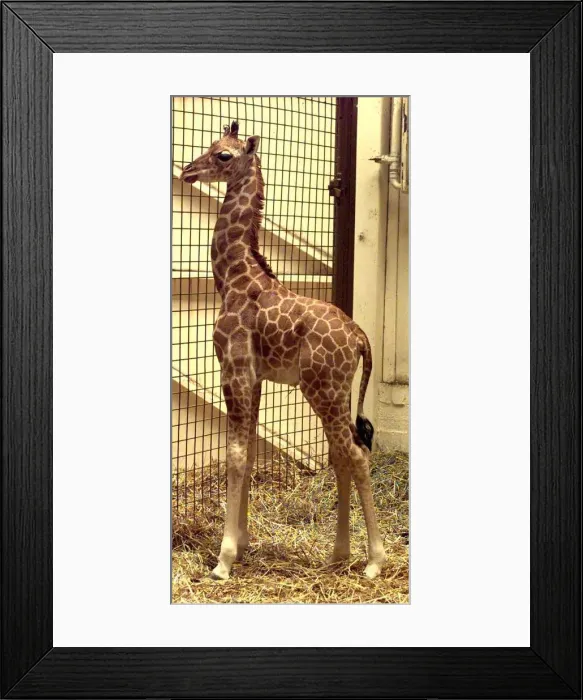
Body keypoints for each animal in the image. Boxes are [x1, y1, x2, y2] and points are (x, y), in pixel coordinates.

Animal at [180, 121, 387, 581]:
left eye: (223, 154)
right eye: (210, 145)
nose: (187, 171)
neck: (233, 278)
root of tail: (361, 337)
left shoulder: (235, 370)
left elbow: (236, 455)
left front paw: (223, 560)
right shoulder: (253, 377)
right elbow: (251, 452)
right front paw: (242, 543)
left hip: (322, 390)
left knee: (357, 455)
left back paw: (374, 561)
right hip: (333, 392)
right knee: (340, 455)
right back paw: (338, 555)